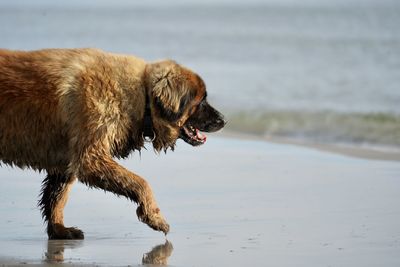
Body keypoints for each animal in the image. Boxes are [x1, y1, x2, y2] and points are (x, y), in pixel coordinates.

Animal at [0, 48, 225, 241]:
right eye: (201, 102)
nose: (223, 120)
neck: (142, 94)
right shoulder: (91, 156)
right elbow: (141, 182)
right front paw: (155, 217)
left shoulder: (67, 160)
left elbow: (56, 197)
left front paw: (59, 229)